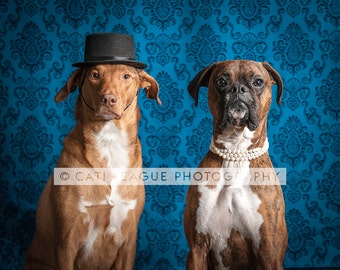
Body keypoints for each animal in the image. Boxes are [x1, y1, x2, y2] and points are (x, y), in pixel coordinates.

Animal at [25, 64, 161, 268]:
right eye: (95, 75)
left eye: (126, 76)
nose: (108, 99)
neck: (109, 142)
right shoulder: (66, 243)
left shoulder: (128, 243)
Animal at [185, 60, 288, 268]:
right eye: (221, 81)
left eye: (258, 82)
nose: (238, 89)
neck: (236, 152)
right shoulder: (197, 249)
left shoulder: (269, 252)